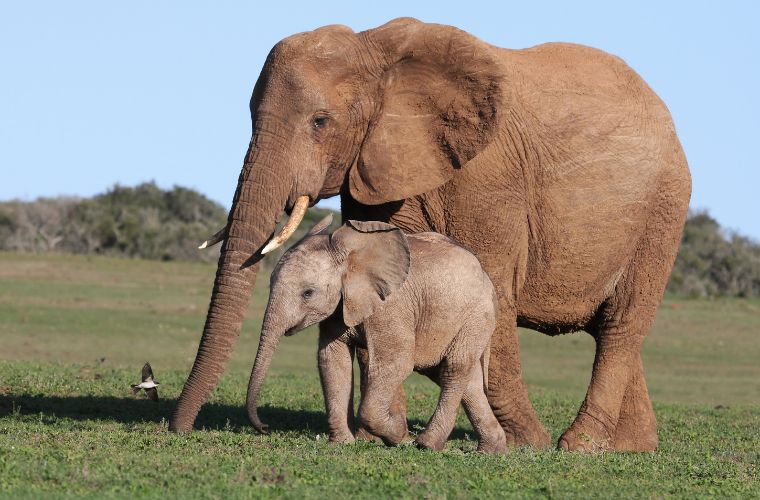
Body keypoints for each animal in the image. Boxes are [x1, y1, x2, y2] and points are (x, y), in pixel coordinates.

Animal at [248, 215, 504, 454]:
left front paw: (400, 436)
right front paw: (342, 444)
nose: (265, 427)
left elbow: (396, 361)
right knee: (466, 379)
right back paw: (492, 450)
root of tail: (487, 279)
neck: (350, 256)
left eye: (308, 293)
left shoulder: (391, 305)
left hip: (476, 317)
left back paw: (426, 445)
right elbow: (333, 360)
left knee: (454, 369)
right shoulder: (339, 307)